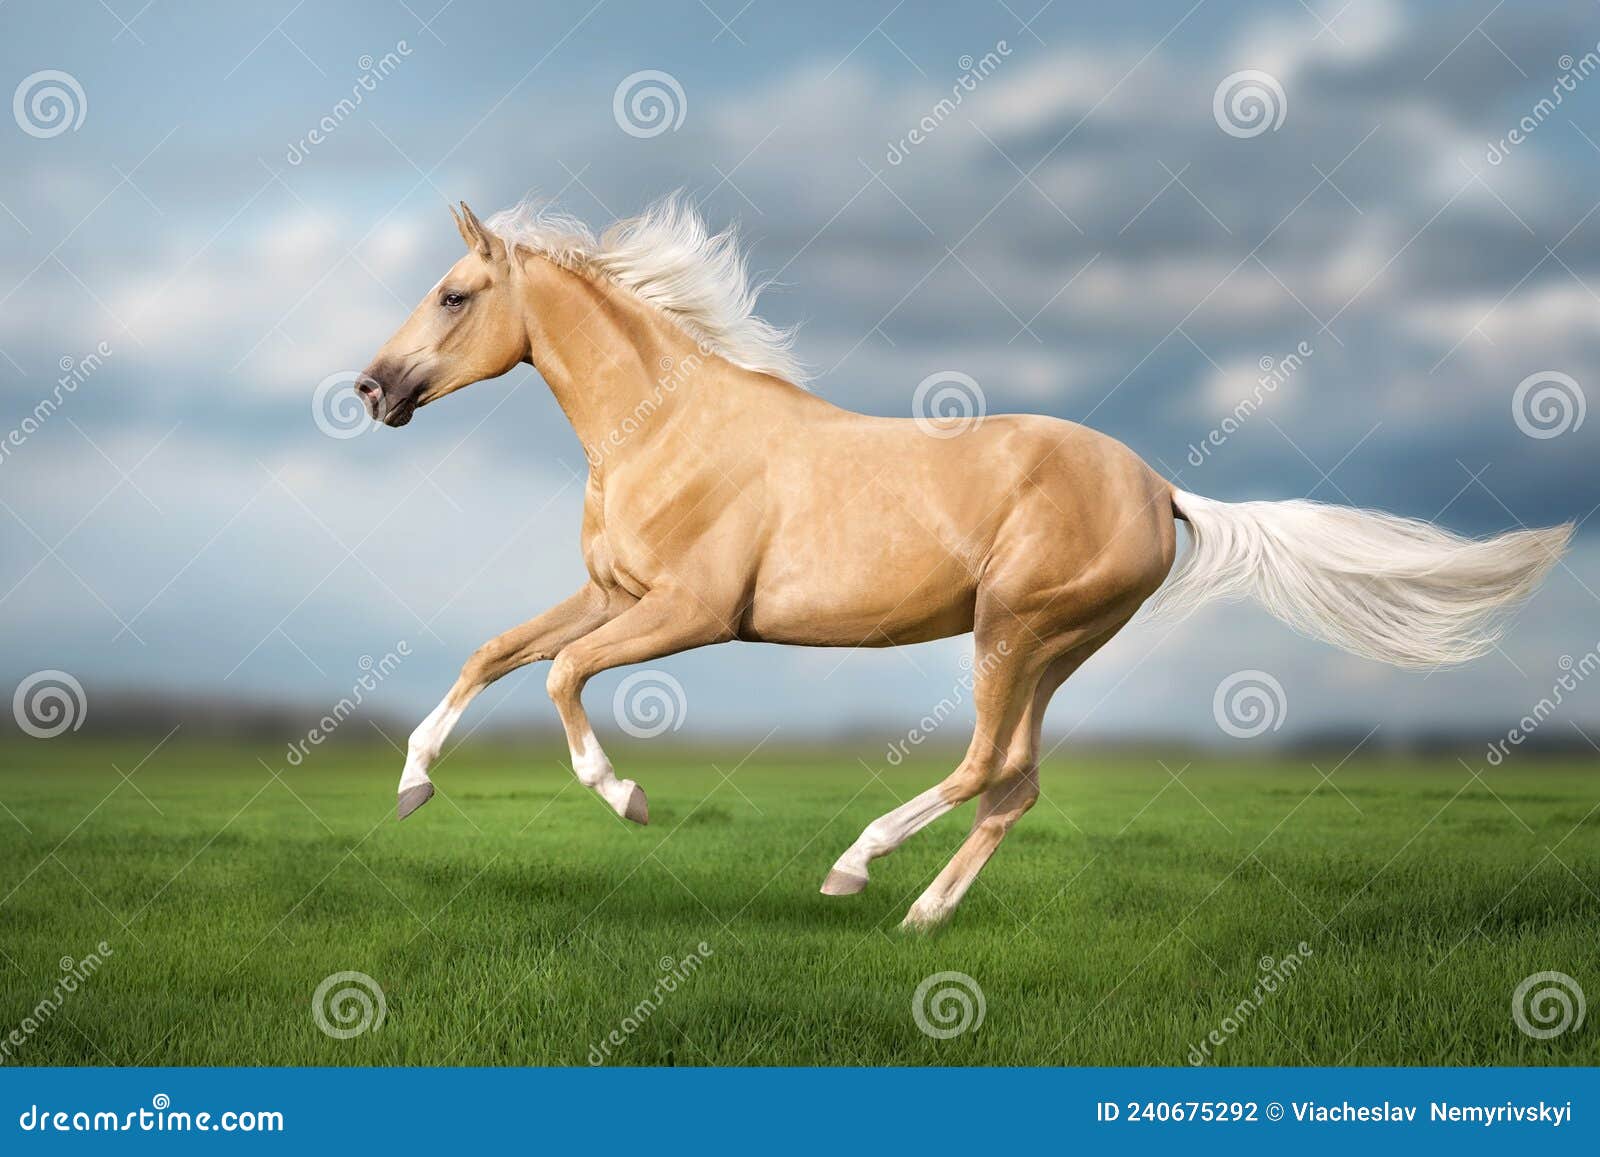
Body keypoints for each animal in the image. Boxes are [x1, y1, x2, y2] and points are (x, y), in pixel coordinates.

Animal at [356, 194, 1568, 928]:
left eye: (455, 294)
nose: (372, 388)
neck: (665, 425)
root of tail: (1162, 487)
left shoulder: (693, 612)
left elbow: (560, 676)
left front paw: (627, 800)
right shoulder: (615, 593)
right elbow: (495, 652)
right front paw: (412, 786)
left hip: (1015, 628)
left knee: (987, 761)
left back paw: (854, 866)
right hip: (1055, 645)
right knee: (1017, 779)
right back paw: (922, 912)